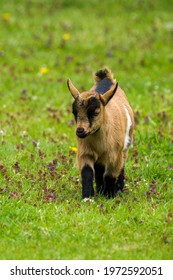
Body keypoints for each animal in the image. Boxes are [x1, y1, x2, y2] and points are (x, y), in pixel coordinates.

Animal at [67, 68, 134, 199]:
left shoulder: (115, 155)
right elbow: (87, 172)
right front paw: (88, 197)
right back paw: (100, 189)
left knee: (121, 165)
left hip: (124, 147)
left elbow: (110, 175)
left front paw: (109, 195)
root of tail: (106, 78)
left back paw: (118, 189)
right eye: (74, 112)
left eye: (95, 112)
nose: (80, 131)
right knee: (99, 169)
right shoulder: (85, 152)